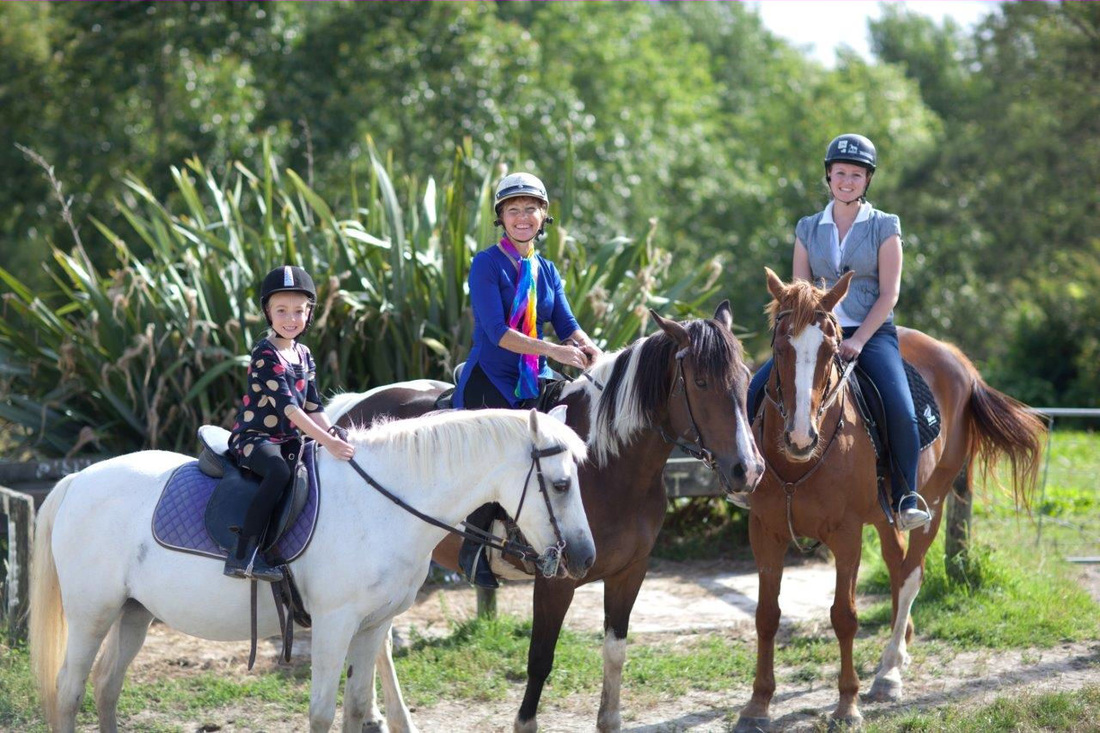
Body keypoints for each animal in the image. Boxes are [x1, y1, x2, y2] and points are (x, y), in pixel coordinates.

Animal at [27, 407, 594, 726]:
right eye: (561, 484)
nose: (585, 558)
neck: (381, 504)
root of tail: (77, 481)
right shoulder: (333, 624)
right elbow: (322, 712)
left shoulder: (372, 627)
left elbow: (358, 708)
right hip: (92, 615)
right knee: (69, 691)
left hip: (134, 612)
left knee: (106, 688)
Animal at [330, 301, 765, 730]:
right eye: (701, 383)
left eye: (745, 377)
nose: (748, 469)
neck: (607, 465)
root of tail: (350, 407)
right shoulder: (556, 580)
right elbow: (540, 659)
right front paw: (525, 721)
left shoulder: (631, 571)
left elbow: (615, 651)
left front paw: (609, 718)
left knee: (376, 639)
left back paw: (376, 714)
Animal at [734, 268, 1042, 730]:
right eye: (779, 344)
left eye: (830, 349)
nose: (801, 437)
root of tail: (959, 360)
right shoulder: (764, 531)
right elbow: (766, 615)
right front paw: (757, 705)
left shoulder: (846, 535)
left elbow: (844, 616)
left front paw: (847, 704)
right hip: (884, 514)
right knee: (897, 566)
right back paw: (900, 649)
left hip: (932, 504)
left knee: (912, 574)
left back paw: (890, 671)